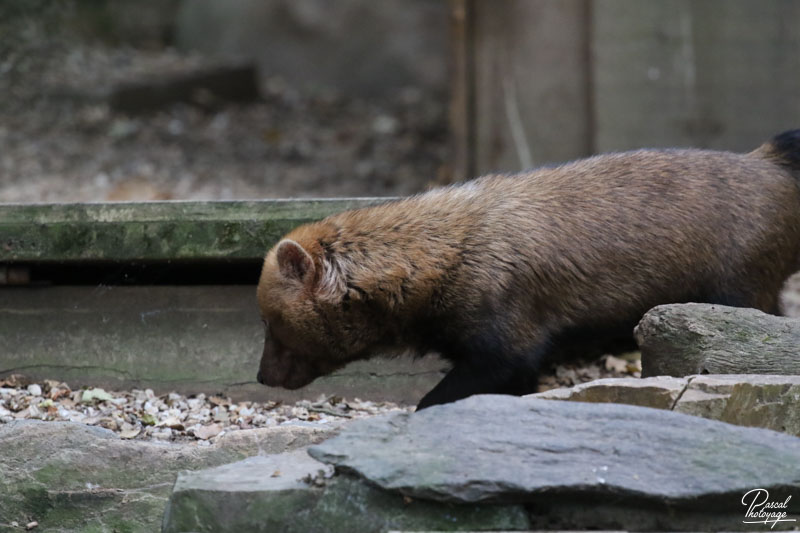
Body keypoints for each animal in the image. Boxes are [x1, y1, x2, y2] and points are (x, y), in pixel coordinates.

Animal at [256, 129, 800, 408]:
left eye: (271, 321)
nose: (260, 376)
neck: (440, 252)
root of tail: (771, 163)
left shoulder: (508, 350)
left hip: (741, 294)